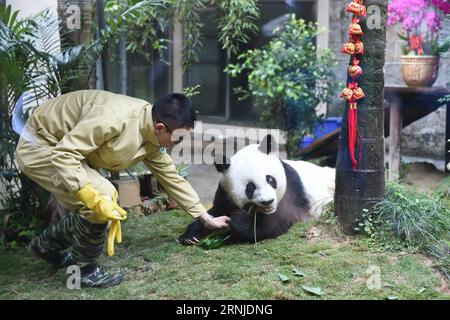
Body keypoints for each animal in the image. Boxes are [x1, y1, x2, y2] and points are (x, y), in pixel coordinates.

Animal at [178, 134, 334, 244]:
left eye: (270, 179)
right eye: (250, 188)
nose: (268, 201)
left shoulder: (287, 193)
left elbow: (273, 224)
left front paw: (237, 220)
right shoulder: (225, 192)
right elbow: (216, 211)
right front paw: (189, 236)